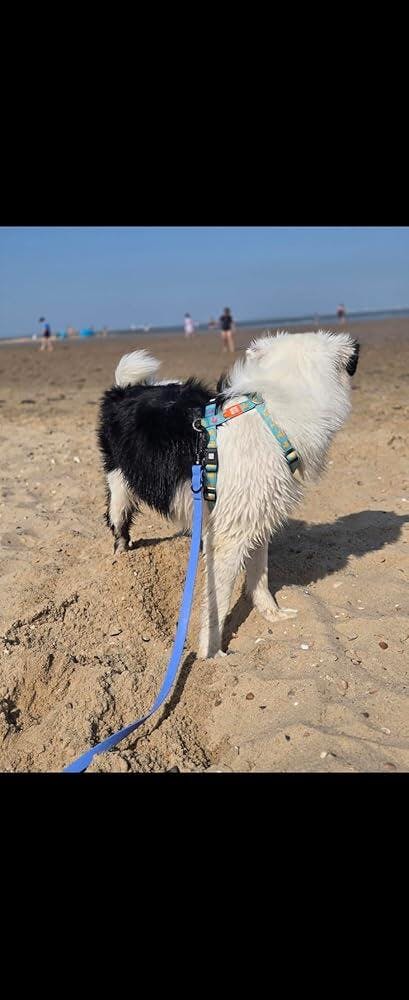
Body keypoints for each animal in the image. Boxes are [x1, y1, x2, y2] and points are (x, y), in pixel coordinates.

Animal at [98, 331, 359, 658]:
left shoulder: (256, 516)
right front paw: (211, 655)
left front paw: (272, 614)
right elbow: (218, 603)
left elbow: (260, 575)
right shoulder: (229, 536)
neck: (272, 418)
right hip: (119, 482)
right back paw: (121, 561)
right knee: (118, 522)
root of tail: (125, 390)